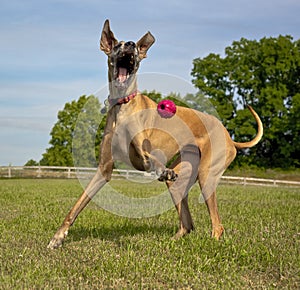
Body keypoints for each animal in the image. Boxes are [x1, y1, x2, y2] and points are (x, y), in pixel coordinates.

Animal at [47, 19, 262, 249]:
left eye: (133, 47)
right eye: (118, 45)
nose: (131, 45)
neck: (123, 105)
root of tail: (229, 136)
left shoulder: (144, 153)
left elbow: (151, 159)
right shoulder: (104, 169)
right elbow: (77, 205)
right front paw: (58, 236)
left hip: (207, 175)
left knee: (217, 225)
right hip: (181, 179)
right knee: (187, 223)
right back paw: (172, 241)